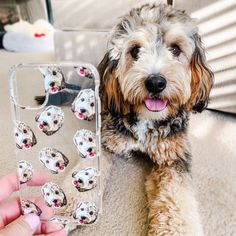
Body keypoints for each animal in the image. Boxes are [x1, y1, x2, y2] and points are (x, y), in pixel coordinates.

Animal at [97, 2, 214, 235]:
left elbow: (177, 202)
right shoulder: (108, 142)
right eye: (135, 51)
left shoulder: (174, 159)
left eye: (175, 49)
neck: (147, 120)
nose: (155, 83)